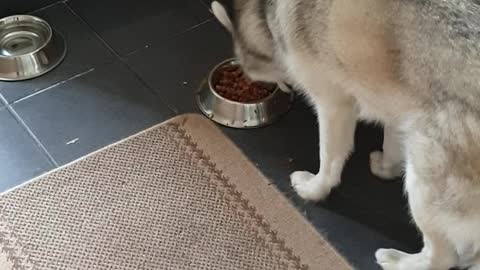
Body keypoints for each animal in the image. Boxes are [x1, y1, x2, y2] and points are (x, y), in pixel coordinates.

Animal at [211, 0, 480, 270]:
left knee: (443, 257)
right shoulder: (398, 101)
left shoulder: (334, 103)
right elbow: (392, 138)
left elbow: (329, 158)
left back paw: (398, 261)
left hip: (425, 179)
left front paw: (315, 189)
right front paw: (387, 167)